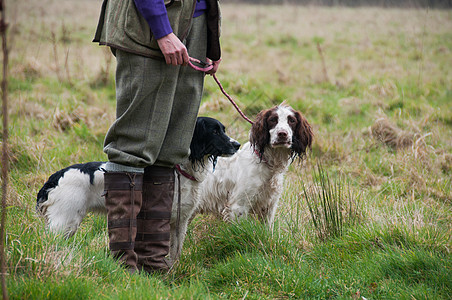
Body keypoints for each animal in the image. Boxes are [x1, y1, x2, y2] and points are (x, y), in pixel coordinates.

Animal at [36, 117, 240, 260]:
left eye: (223, 129)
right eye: (214, 131)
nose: (237, 144)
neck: (181, 172)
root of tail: (55, 178)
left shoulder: (180, 221)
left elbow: (175, 253)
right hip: (65, 220)